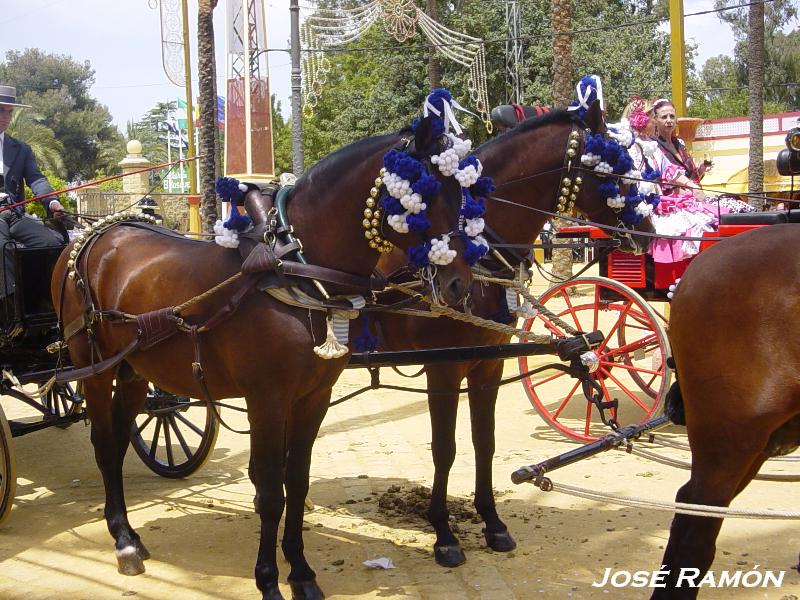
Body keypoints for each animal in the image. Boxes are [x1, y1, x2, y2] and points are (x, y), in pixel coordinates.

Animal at [53, 117, 476, 600]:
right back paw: (122, 541)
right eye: (423, 194)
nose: (459, 284)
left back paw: (130, 534)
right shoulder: (266, 399)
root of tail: (91, 235)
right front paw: (269, 579)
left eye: (461, 193)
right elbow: (271, 490)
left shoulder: (313, 396)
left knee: (122, 438)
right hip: (93, 368)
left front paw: (302, 572)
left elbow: (297, 481)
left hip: (133, 370)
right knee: (105, 444)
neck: (296, 268)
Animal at [366, 102, 652, 568]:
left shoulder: (488, 365)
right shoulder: (443, 371)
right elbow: (444, 448)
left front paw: (492, 522)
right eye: (614, 169)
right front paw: (443, 532)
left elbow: (485, 442)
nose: (647, 228)